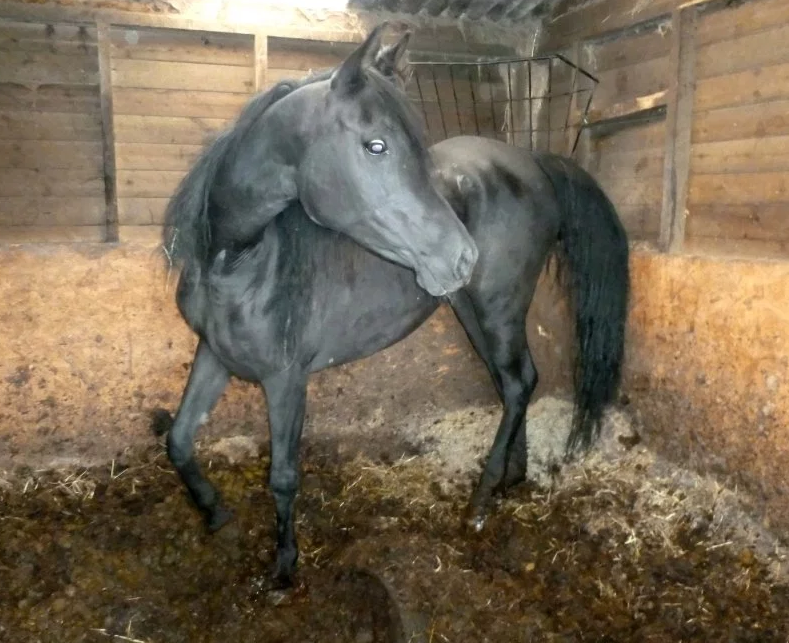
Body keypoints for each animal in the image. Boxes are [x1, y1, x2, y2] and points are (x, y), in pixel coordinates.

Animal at [156, 27, 630, 590]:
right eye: (376, 145)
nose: (462, 254)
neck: (239, 259)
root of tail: (533, 161)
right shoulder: (214, 355)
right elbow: (179, 440)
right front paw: (214, 512)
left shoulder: (285, 379)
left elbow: (283, 477)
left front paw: (284, 567)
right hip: (471, 310)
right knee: (513, 382)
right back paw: (510, 477)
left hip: (498, 306)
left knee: (518, 384)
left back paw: (480, 500)